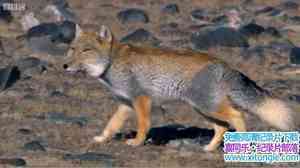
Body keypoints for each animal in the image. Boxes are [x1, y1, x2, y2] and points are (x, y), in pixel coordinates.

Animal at [62, 25, 296, 152]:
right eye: (72, 49)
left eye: (86, 51)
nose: (64, 66)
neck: (113, 62)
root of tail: (223, 63)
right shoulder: (125, 103)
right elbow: (111, 125)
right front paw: (102, 139)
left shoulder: (141, 99)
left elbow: (144, 125)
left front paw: (137, 142)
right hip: (203, 109)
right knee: (221, 128)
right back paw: (209, 148)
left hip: (208, 107)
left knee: (238, 116)